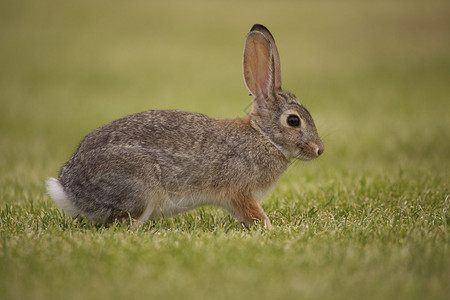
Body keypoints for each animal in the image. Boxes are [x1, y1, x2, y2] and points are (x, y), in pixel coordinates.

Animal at [47, 24, 324, 230]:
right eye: (293, 120)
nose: (319, 150)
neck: (264, 136)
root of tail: (69, 190)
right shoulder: (239, 191)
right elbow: (253, 213)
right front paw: (269, 227)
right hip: (139, 187)